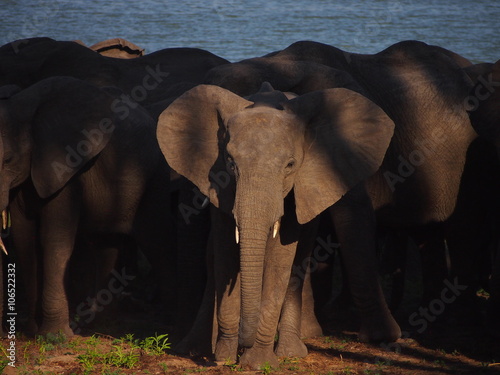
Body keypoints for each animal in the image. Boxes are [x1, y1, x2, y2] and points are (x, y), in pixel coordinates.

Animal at [0, 75, 172, 336]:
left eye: (8, 159)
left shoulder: (69, 167)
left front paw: (55, 336)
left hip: (153, 179)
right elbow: (24, 238)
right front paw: (30, 332)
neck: (24, 109)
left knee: (150, 242)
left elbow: (54, 237)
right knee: (106, 244)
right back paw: (96, 320)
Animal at [156, 83, 394, 370]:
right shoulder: (219, 184)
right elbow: (225, 256)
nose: (242, 345)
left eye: (290, 165)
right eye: (230, 163)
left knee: (298, 263)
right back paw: (197, 348)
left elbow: (281, 259)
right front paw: (224, 358)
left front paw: (257, 362)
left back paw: (291, 351)